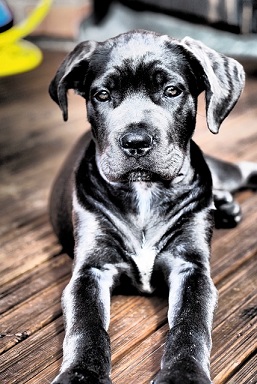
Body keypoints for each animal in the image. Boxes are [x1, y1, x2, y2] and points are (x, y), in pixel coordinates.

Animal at [48, 30, 254, 384]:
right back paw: (225, 207)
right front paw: (81, 373)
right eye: (102, 95)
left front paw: (184, 373)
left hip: (222, 171)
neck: (144, 189)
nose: (136, 142)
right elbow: (86, 325)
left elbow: (190, 325)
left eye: (172, 91)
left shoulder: (191, 266)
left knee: (241, 169)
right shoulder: (90, 269)